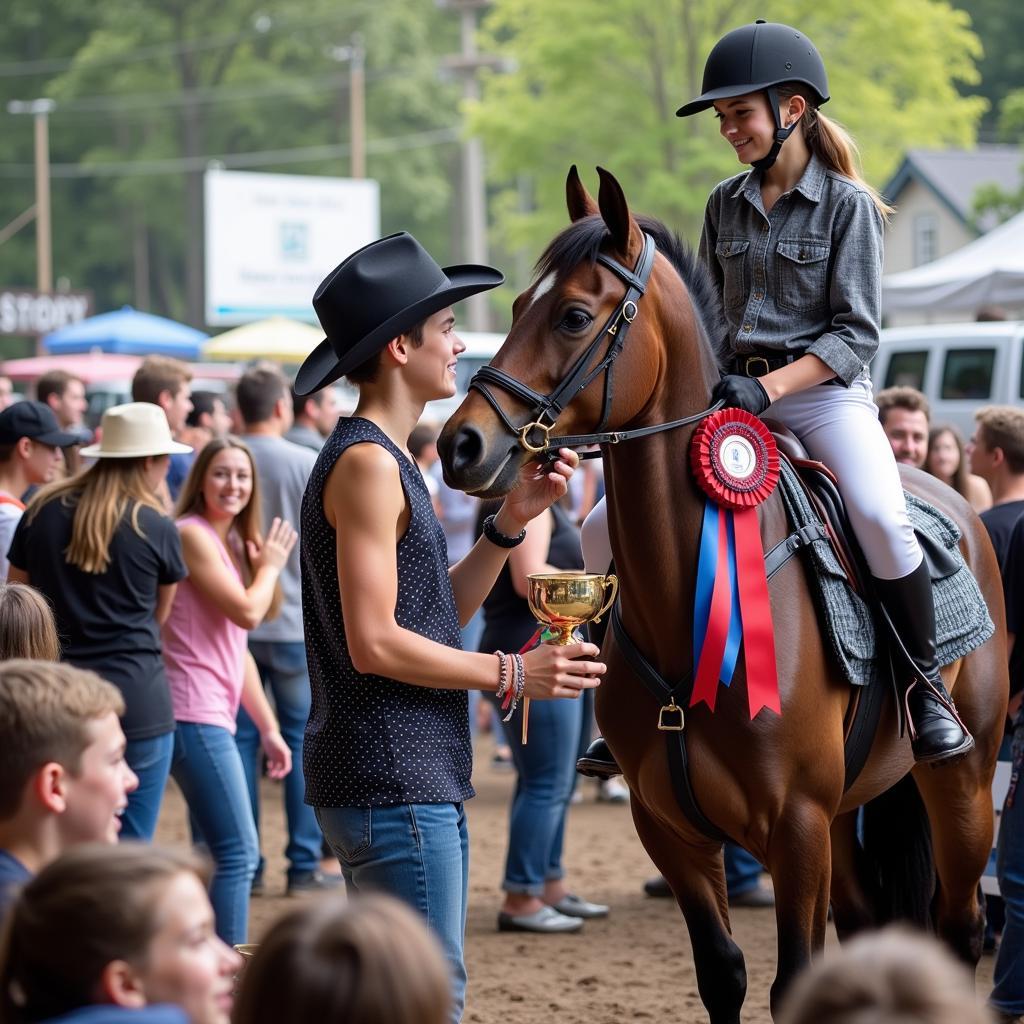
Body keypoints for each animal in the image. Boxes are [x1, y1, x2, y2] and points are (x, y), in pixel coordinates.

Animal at [440, 165, 1007, 1015]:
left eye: (573, 316)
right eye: (512, 310)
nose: (459, 444)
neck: (688, 605)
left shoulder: (796, 828)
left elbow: (793, 979)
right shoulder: (671, 827)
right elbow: (723, 973)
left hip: (962, 785)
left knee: (961, 929)